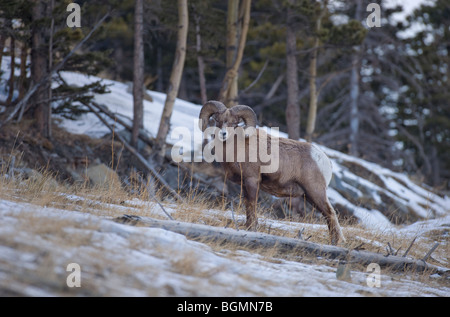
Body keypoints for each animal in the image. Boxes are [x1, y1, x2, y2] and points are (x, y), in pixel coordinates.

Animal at [200, 100, 344, 244]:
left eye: (234, 123)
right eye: (217, 120)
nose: (223, 134)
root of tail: (324, 159)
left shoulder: (252, 181)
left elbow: (252, 205)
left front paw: (252, 228)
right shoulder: (245, 184)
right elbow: (247, 205)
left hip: (315, 192)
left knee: (330, 214)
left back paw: (336, 242)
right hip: (308, 195)